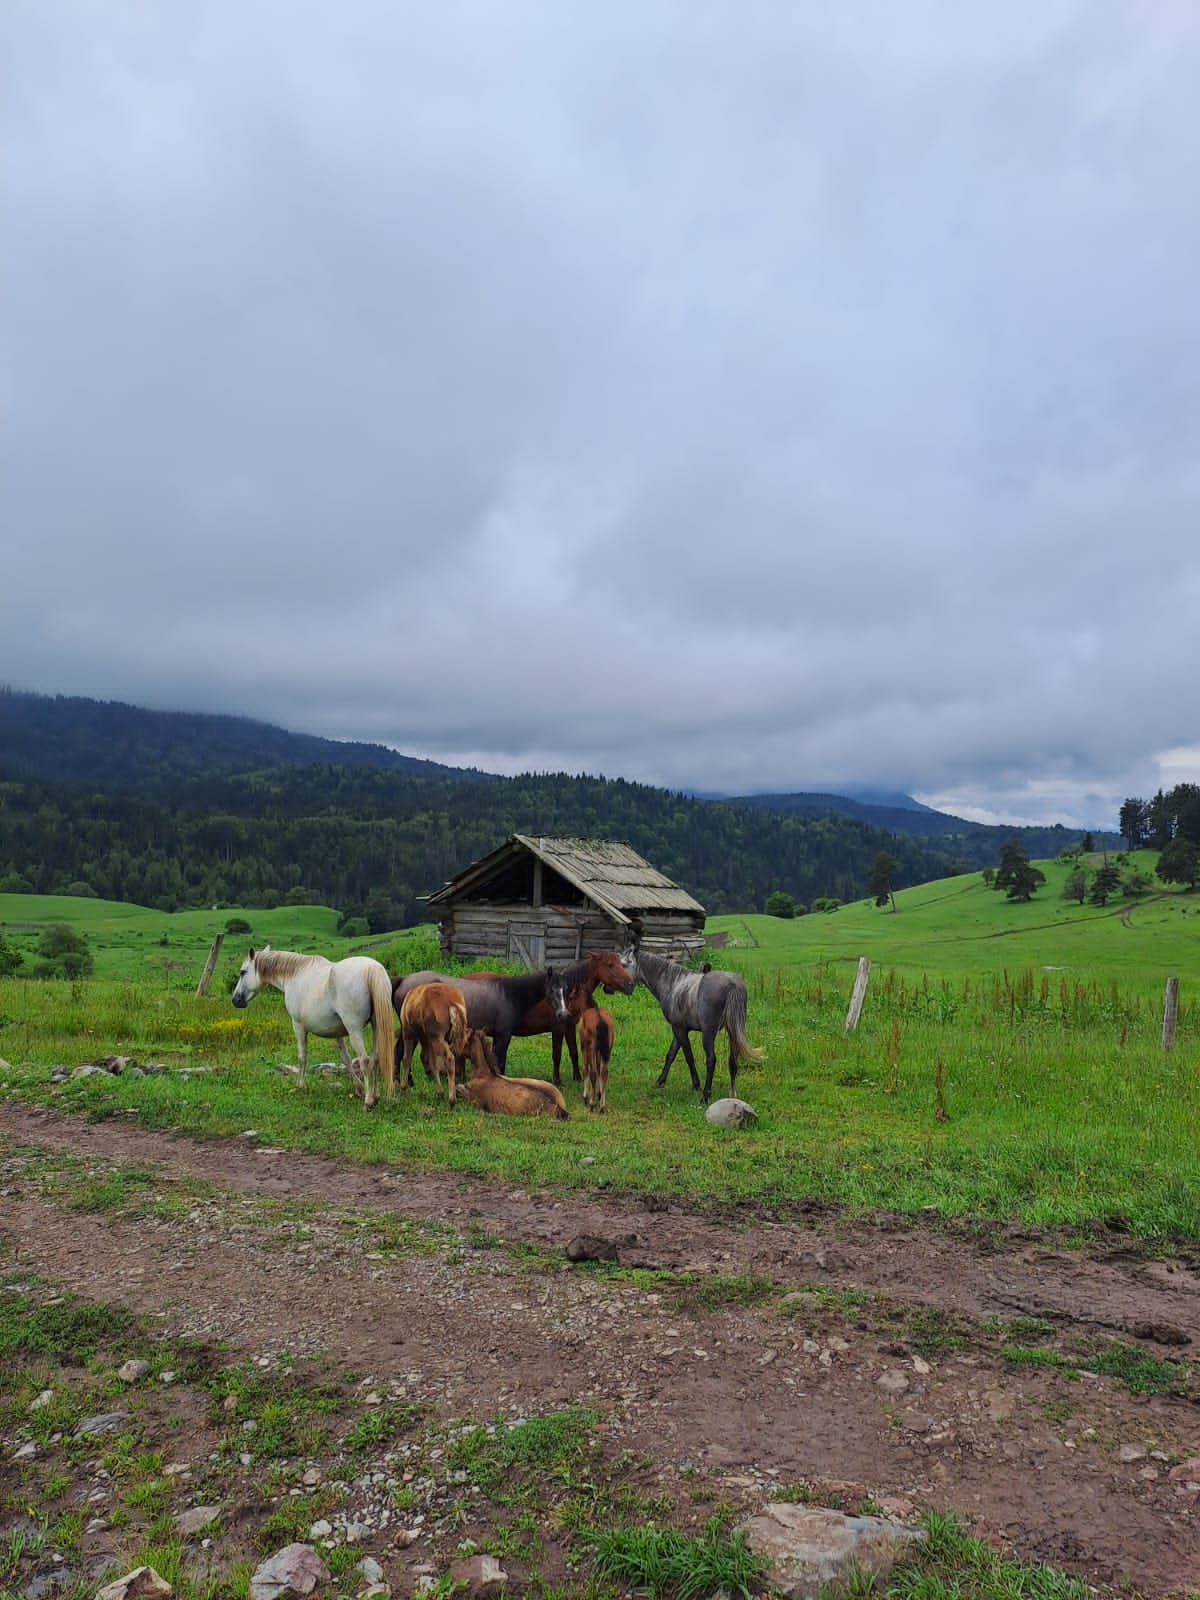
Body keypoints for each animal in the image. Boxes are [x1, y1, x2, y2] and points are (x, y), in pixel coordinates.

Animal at [227, 940, 395, 1107]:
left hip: (355, 1031)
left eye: (243, 972)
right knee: (376, 1058)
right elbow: (346, 1059)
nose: (235, 1000)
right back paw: (375, 1095)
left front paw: (299, 1086)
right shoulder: (337, 1033)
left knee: (365, 1060)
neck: (294, 974)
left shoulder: (298, 1026)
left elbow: (302, 1057)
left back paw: (369, 1101)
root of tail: (372, 968)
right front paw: (359, 1089)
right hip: (376, 1028)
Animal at [396, 979, 467, 1107]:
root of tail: (451, 1001)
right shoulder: (427, 1039)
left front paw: (403, 1088)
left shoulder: (409, 1033)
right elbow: (432, 1062)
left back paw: (452, 1100)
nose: (427, 1073)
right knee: (457, 1055)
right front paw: (439, 1093)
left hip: (435, 1037)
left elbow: (406, 1059)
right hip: (455, 1035)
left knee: (449, 1058)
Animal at [633, 947, 764, 1100]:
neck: (674, 985)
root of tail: (732, 985)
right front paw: (660, 1082)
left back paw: (705, 1096)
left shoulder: (679, 1029)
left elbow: (688, 1056)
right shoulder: (680, 1029)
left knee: (711, 1060)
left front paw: (696, 1085)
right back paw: (732, 1096)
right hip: (733, 1032)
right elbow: (671, 1055)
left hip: (708, 1034)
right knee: (732, 1061)